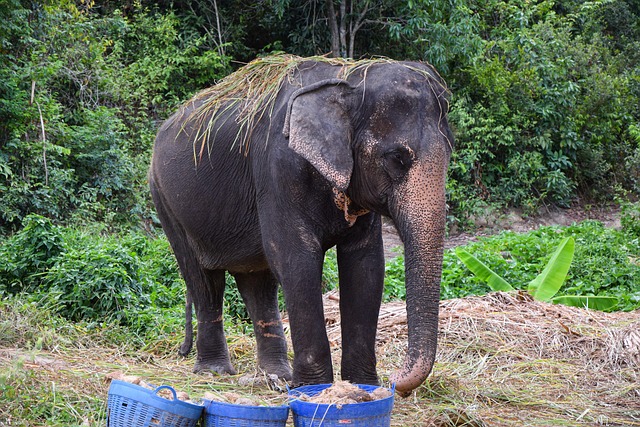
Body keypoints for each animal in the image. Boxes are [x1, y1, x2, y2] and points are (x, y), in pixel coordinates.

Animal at [149, 55, 453, 396]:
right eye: (397, 158)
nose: (395, 380)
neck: (347, 77)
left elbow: (366, 265)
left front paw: (361, 386)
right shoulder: (279, 169)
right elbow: (297, 258)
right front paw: (315, 390)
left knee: (258, 282)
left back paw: (277, 377)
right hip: (165, 200)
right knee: (203, 279)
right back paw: (215, 371)